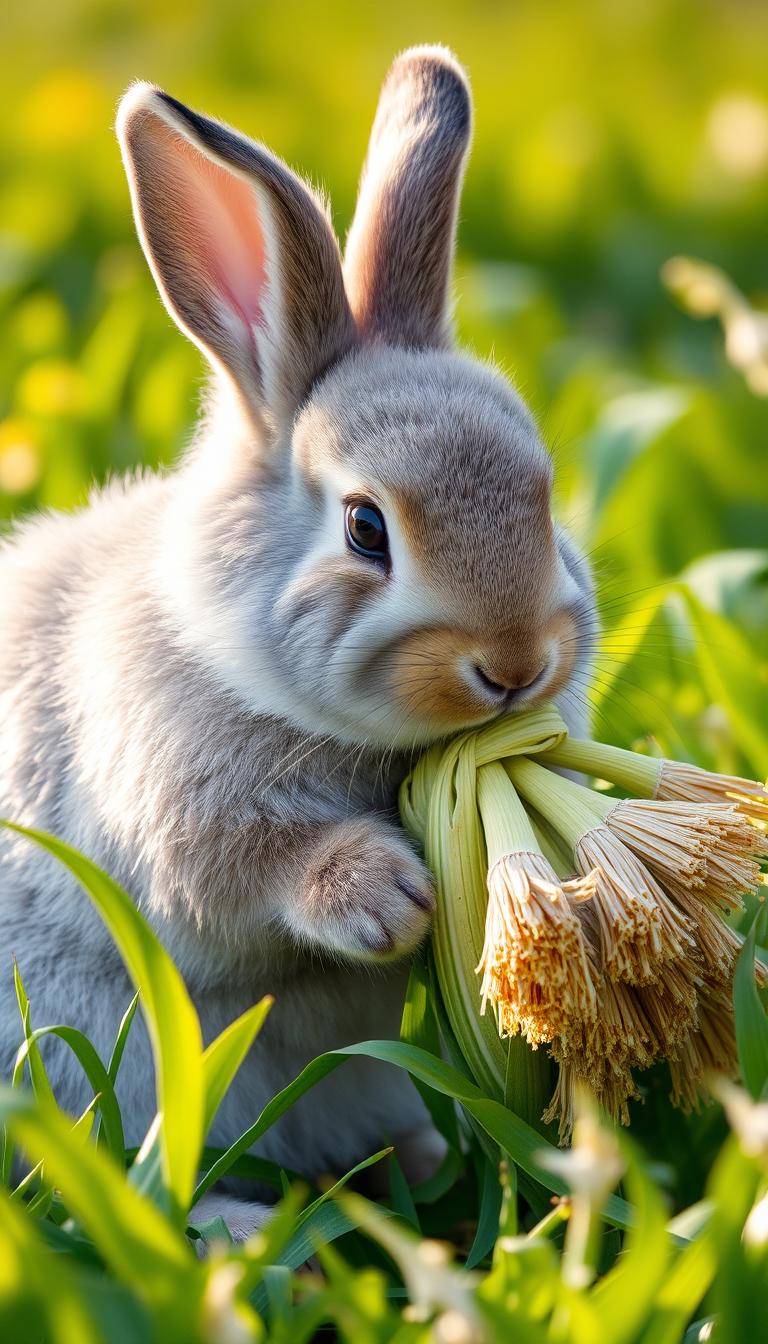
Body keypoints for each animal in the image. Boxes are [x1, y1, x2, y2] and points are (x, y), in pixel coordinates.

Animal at [0, 45, 596, 1239]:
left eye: (545, 497)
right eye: (367, 528)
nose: (515, 668)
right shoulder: (179, 809)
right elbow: (241, 868)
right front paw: (387, 898)